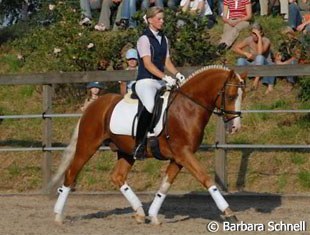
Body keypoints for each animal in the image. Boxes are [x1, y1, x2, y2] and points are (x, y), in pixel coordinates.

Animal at [49, 65, 246, 225]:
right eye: (230, 96)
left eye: (241, 97)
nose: (235, 127)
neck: (188, 108)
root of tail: (94, 105)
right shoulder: (184, 153)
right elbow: (206, 179)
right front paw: (229, 213)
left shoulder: (179, 157)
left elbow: (165, 185)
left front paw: (153, 215)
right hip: (88, 146)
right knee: (71, 173)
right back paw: (58, 216)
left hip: (127, 152)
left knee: (118, 176)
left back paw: (139, 212)